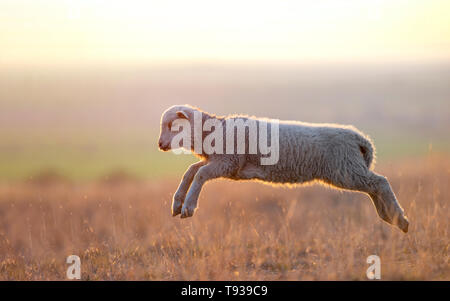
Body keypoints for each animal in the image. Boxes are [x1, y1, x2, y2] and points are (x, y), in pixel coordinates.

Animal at [156, 103, 410, 232]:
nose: (160, 145)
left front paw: (188, 207)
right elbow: (191, 171)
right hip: (349, 169)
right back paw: (390, 217)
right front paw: (177, 203)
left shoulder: (228, 162)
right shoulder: (226, 165)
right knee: (373, 187)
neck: (214, 131)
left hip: (344, 170)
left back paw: (399, 218)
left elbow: (199, 174)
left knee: (380, 182)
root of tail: (360, 139)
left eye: (172, 125)